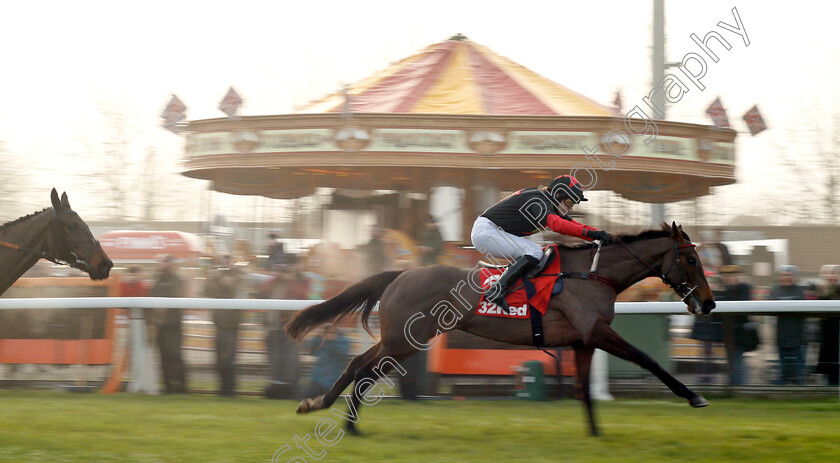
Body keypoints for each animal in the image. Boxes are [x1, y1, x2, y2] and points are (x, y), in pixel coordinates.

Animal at [288, 223, 716, 436]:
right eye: (691, 260)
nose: (709, 303)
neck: (592, 274)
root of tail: (401, 273)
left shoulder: (583, 341)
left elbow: (583, 389)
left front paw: (595, 433)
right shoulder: (597, 332)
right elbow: (648, 360)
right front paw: (694, 396)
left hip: (400, 340)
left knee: (359, 366)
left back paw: (328, 411)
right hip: (406, 340)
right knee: (361, 368)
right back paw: (340, 419)